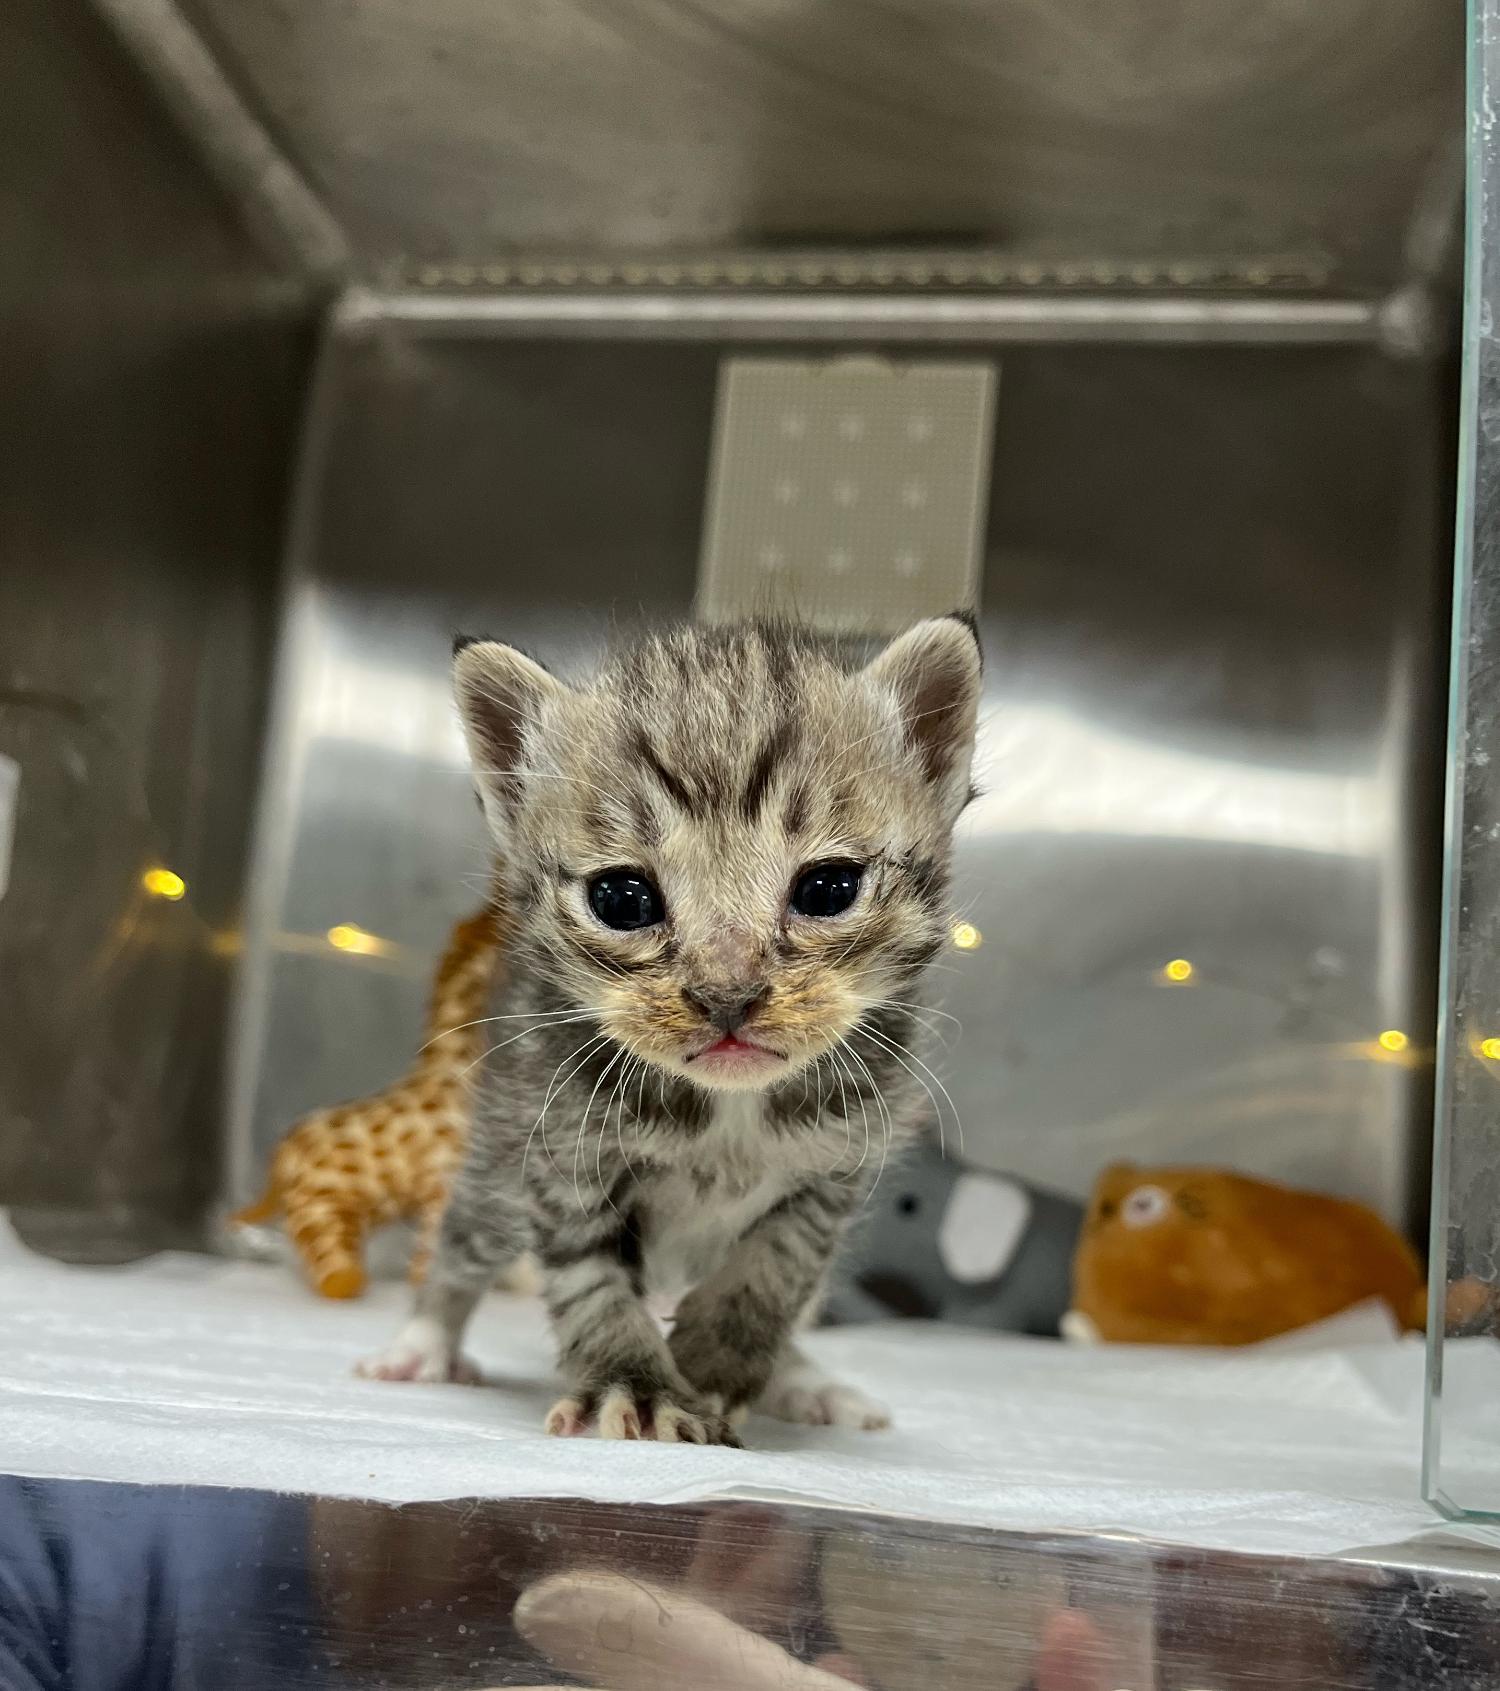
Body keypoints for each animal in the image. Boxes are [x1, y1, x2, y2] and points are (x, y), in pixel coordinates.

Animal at [358, 615, 980, 1447]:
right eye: (623, 898)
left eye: (828, 888)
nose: (728, 995)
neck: (728, 1111)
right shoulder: (561, 1158)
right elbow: (593, 1284)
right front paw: (640, 1383)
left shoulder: (834, 1170)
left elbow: (773, 1271)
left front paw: (715, 1367)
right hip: (498, 1155)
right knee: (463, 1245)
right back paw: (420, 1344)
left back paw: (805, 1381)